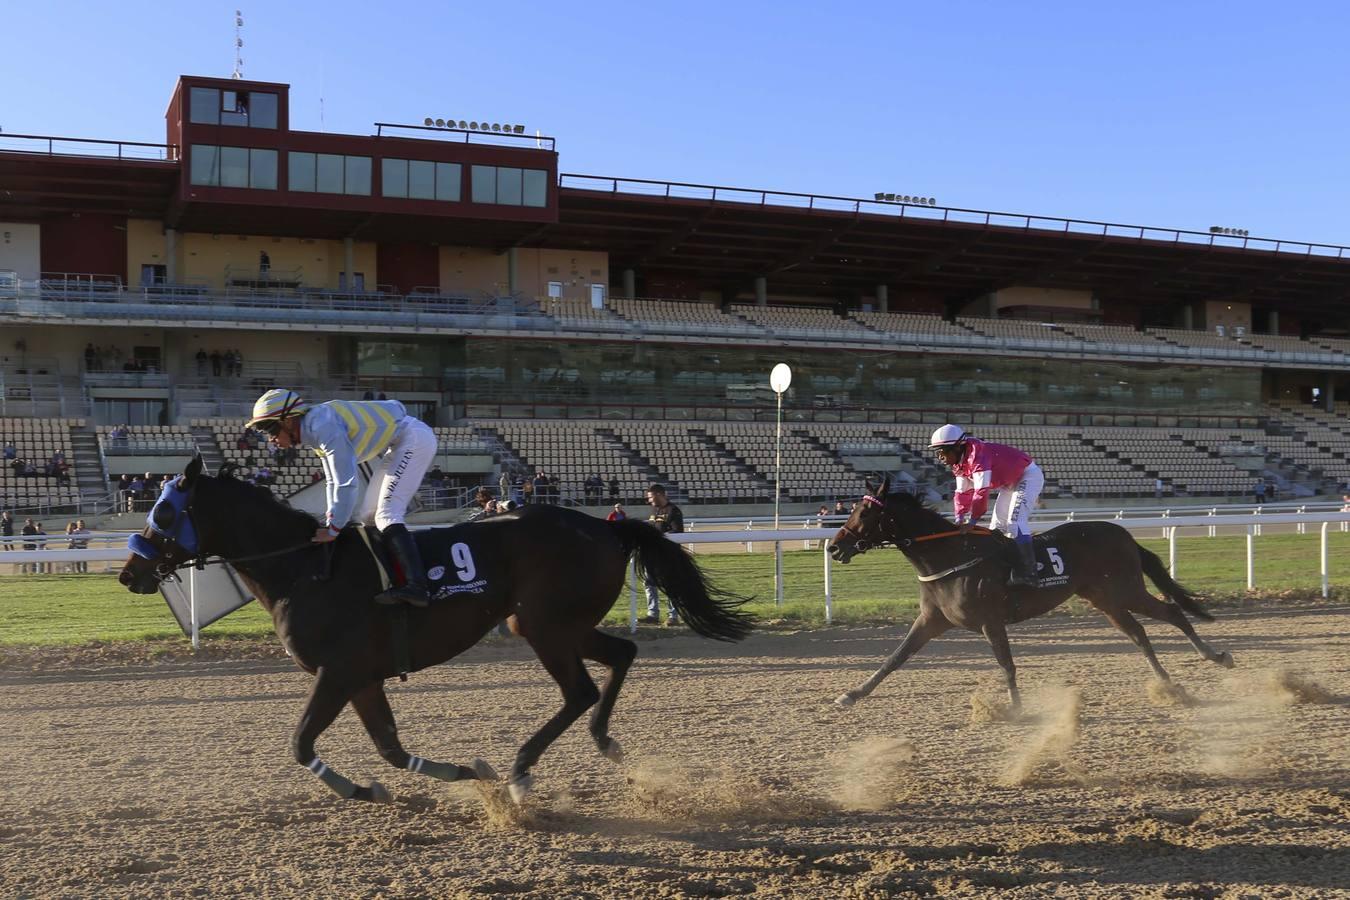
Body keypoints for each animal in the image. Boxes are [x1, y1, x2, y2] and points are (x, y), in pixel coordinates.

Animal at [118, 461, 750, 804]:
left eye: (165, 513)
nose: (128, 573)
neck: (304, 568)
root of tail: (609, 526)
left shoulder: (338, 671)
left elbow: (299, 742)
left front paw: (367, 787)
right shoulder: (363, 678)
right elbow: (390, 749)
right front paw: (447, 776)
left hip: (543, 624)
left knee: (580, 690)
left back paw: (522, 772)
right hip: (557, 623)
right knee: (622, 654)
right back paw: (604, 741)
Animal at [820, 477, 1236, 712]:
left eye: (863, 513)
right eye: (852, 509)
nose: (835, 547)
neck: (949, 555)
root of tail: (1125, 535)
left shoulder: (990, 621)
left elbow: (1006, 664)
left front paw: (1016, 708)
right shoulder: (931, 620)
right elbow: (894, 658)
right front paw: (852, 694)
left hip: (1126, 590)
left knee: (1173, 613)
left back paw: (1216, 657)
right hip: (1105, 599)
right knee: (1139, 634)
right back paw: (1170, 685)